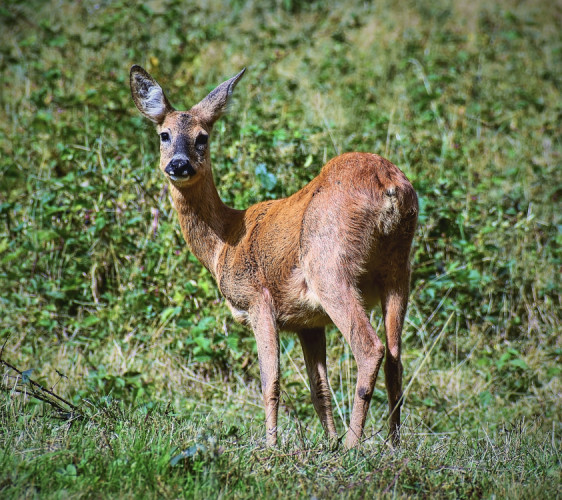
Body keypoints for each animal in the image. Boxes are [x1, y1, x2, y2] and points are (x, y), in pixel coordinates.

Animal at [128, 63, 416, 450]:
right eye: (164, 134)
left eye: (203, 137)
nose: (178, 164)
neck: (225, 243)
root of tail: (390, 185)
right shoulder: (308, 323)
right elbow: (319, 388)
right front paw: (328, 443)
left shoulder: (257, 298)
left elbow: (270, 381)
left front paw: (272, 446)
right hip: (399, 270)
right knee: (396, 360)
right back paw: (393, 444)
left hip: (330, 266)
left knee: (370, 348)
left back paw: (355, 446)